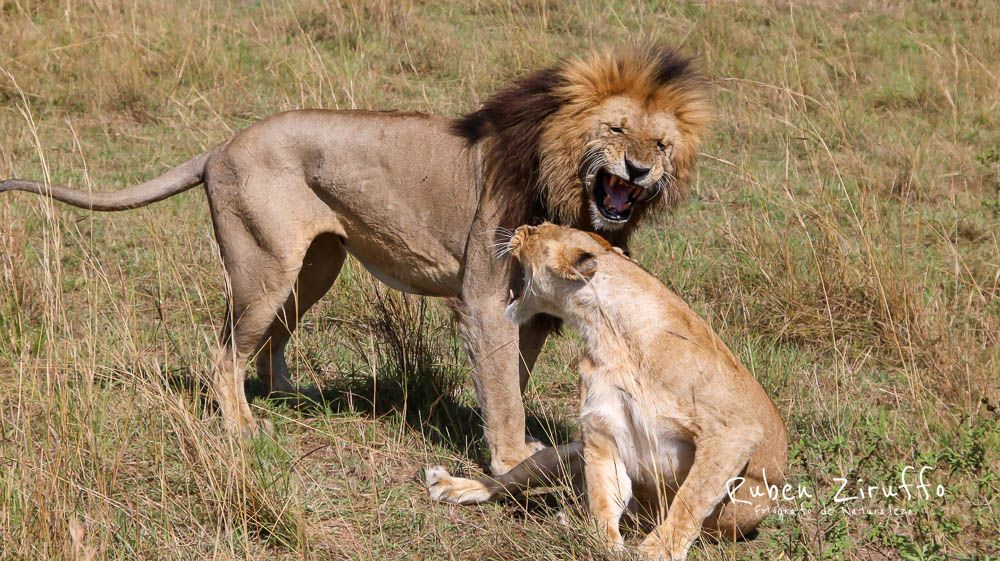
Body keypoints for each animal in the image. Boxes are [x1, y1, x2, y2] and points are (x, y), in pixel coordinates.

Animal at [0, 42, 712, 472]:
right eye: (615, 129)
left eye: (661, 143)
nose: (639, 170)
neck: (565, 186)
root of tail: (219, 147)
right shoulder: (485, 298)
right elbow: (505, 385)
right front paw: (510, 461)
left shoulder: (533, 312)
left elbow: (512, 376)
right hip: (262, 269)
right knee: (224, 352)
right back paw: (242, 430)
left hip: (316, 266)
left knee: (272, 339)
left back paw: (291, 397)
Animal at [426, 224, 784, 560]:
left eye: (538, 231)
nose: (519, 228)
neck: (609, 336)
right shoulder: (601, 431)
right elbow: (602, 496)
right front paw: (604, 545)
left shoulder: (735, 430)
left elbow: (692, 495)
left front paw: (660, 548)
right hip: (562, 453)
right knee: (508, 480)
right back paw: (451, 486)